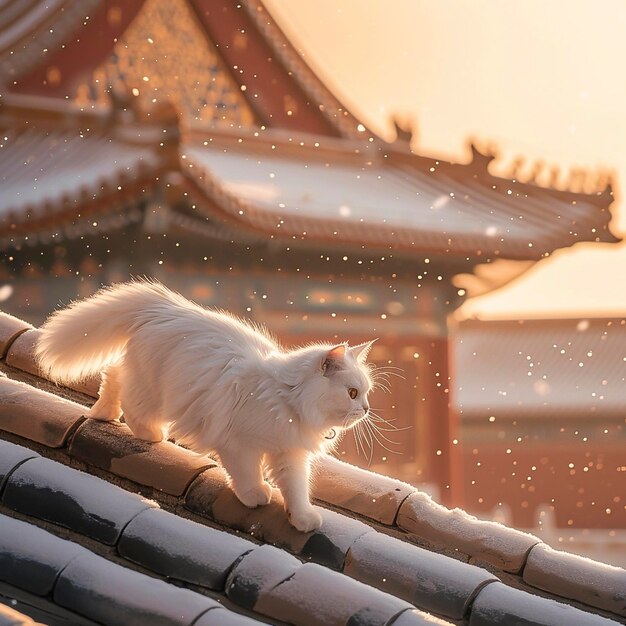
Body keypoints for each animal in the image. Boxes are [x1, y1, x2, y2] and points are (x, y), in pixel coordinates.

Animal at [35, 280, 376, 528]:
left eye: (365, 393)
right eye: (352, 393)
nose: (366, 409)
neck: (289, 399)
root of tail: (165, 305)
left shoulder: (289, 454)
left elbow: (296, 488)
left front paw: (302, 518)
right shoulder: (239, 444)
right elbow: (246, 474)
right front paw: (255, 495)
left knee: (114, 375)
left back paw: (103, 412)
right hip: (154, 391)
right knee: (131, 401)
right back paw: (148, 432)